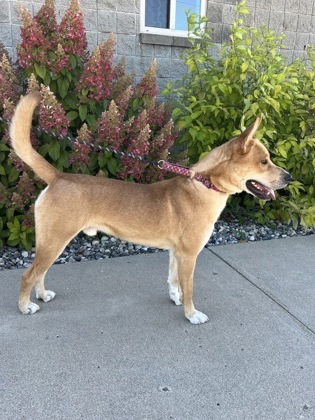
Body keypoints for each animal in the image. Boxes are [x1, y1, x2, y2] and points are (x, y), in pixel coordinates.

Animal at [9, 93, 292, 324]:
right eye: (264, 161)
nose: (289, 177)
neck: (205, 185)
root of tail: (58, 176)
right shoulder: (189, 255)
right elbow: (189, 288)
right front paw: (191, 314)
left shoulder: (176, 253)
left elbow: (174, 281)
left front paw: (176, 299)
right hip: (54, 241)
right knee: (28, 275)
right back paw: (24, 307)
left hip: (53, 242)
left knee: (40, 273)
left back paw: (42, 295)